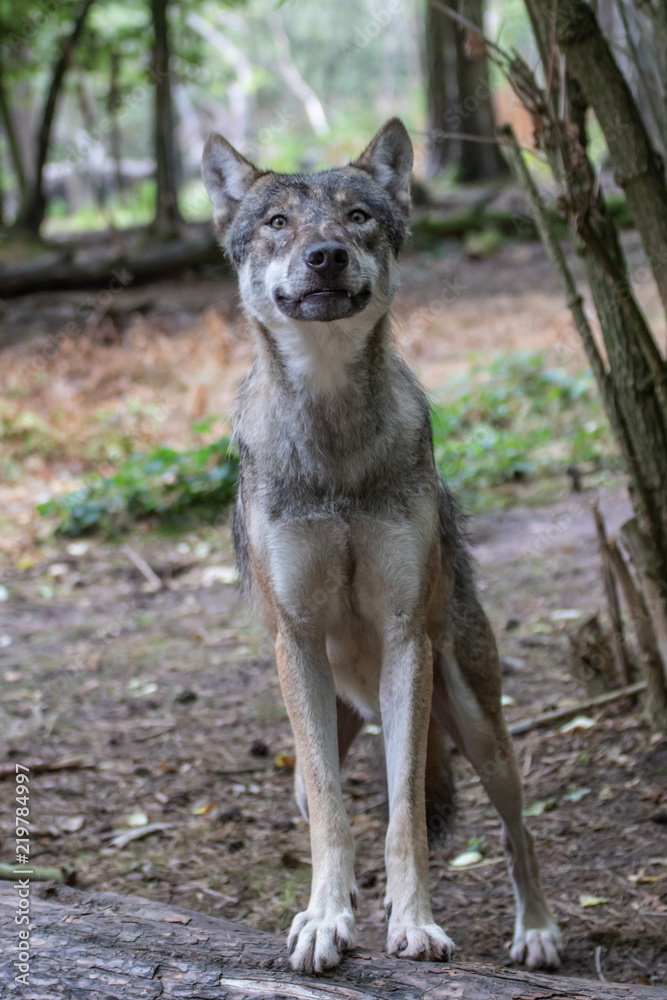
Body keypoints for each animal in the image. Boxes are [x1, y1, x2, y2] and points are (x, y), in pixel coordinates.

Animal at [202, 118, 562, 975]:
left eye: (357, 217)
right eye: (278, 223)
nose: (325, 255)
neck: (333, 441)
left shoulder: (405, 640)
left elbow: (402, 818)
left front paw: (417, 926)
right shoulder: (295, 639)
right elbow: (337, 818)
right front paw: (325, 921)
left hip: (475, 723)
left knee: (516, 831)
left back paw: (535, 932)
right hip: (319, 741)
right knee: (319, 797)